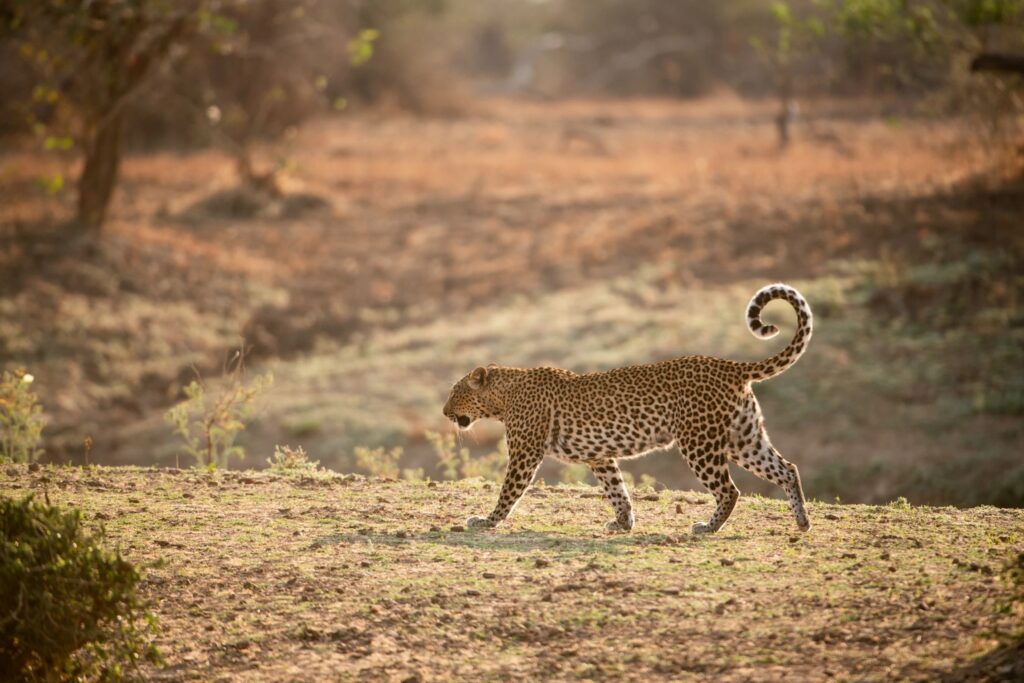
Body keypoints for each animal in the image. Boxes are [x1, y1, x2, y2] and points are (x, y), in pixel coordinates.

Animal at [442, 283, 813, 535]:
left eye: (454, 391)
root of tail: (730, 366)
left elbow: (509, 490)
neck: (504, 396)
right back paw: (802, 521)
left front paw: (486, 520)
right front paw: (623, 523)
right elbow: (616, 489)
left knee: (730, 489)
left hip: (699, 442)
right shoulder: (600, 456)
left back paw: (708, 527)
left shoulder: (525, 453)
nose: (444, 412)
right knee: (787, 468)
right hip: (743, 437)